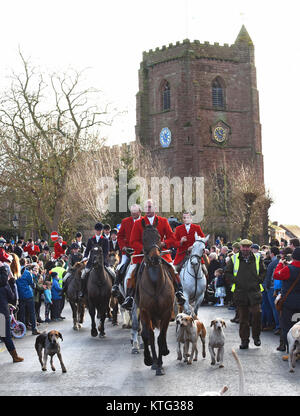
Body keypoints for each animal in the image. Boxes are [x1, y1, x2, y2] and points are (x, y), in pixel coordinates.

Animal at [135, 219, 175, 376]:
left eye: (159, 237)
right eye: (144, 238)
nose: (155, 258)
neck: (155, 283)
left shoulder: (166, 312)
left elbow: (161, 337)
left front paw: (161, 362)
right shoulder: (145, 312)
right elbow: (150, 337)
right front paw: (154, 363)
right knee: (145, 334)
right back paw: (150, 359)